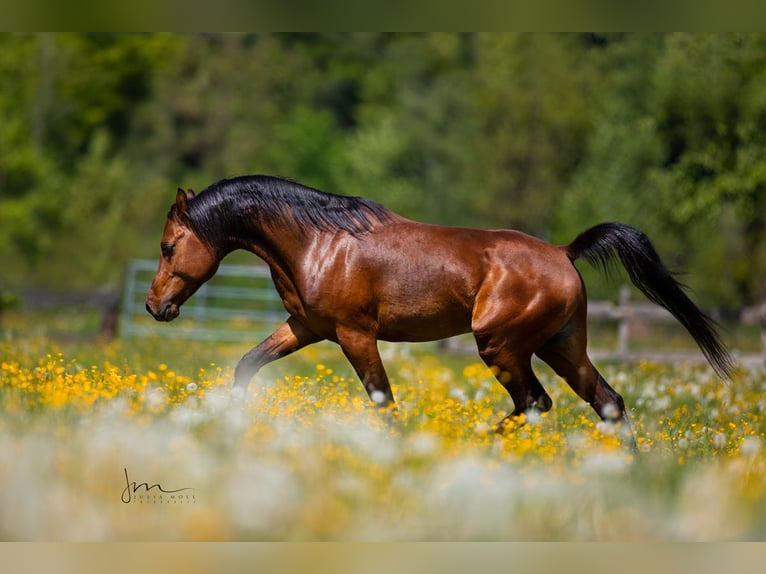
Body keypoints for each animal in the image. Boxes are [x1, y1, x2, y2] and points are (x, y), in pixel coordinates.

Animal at [145, 175, 735, 439]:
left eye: (169, 246)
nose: (154, 307)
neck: (318, 242)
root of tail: (565, 253)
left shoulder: (355, 335)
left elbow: (383, 401)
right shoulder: (305, 328)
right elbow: (246, 366)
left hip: (501, 346)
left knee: (536, 402)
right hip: (561, 345)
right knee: (606, 401)